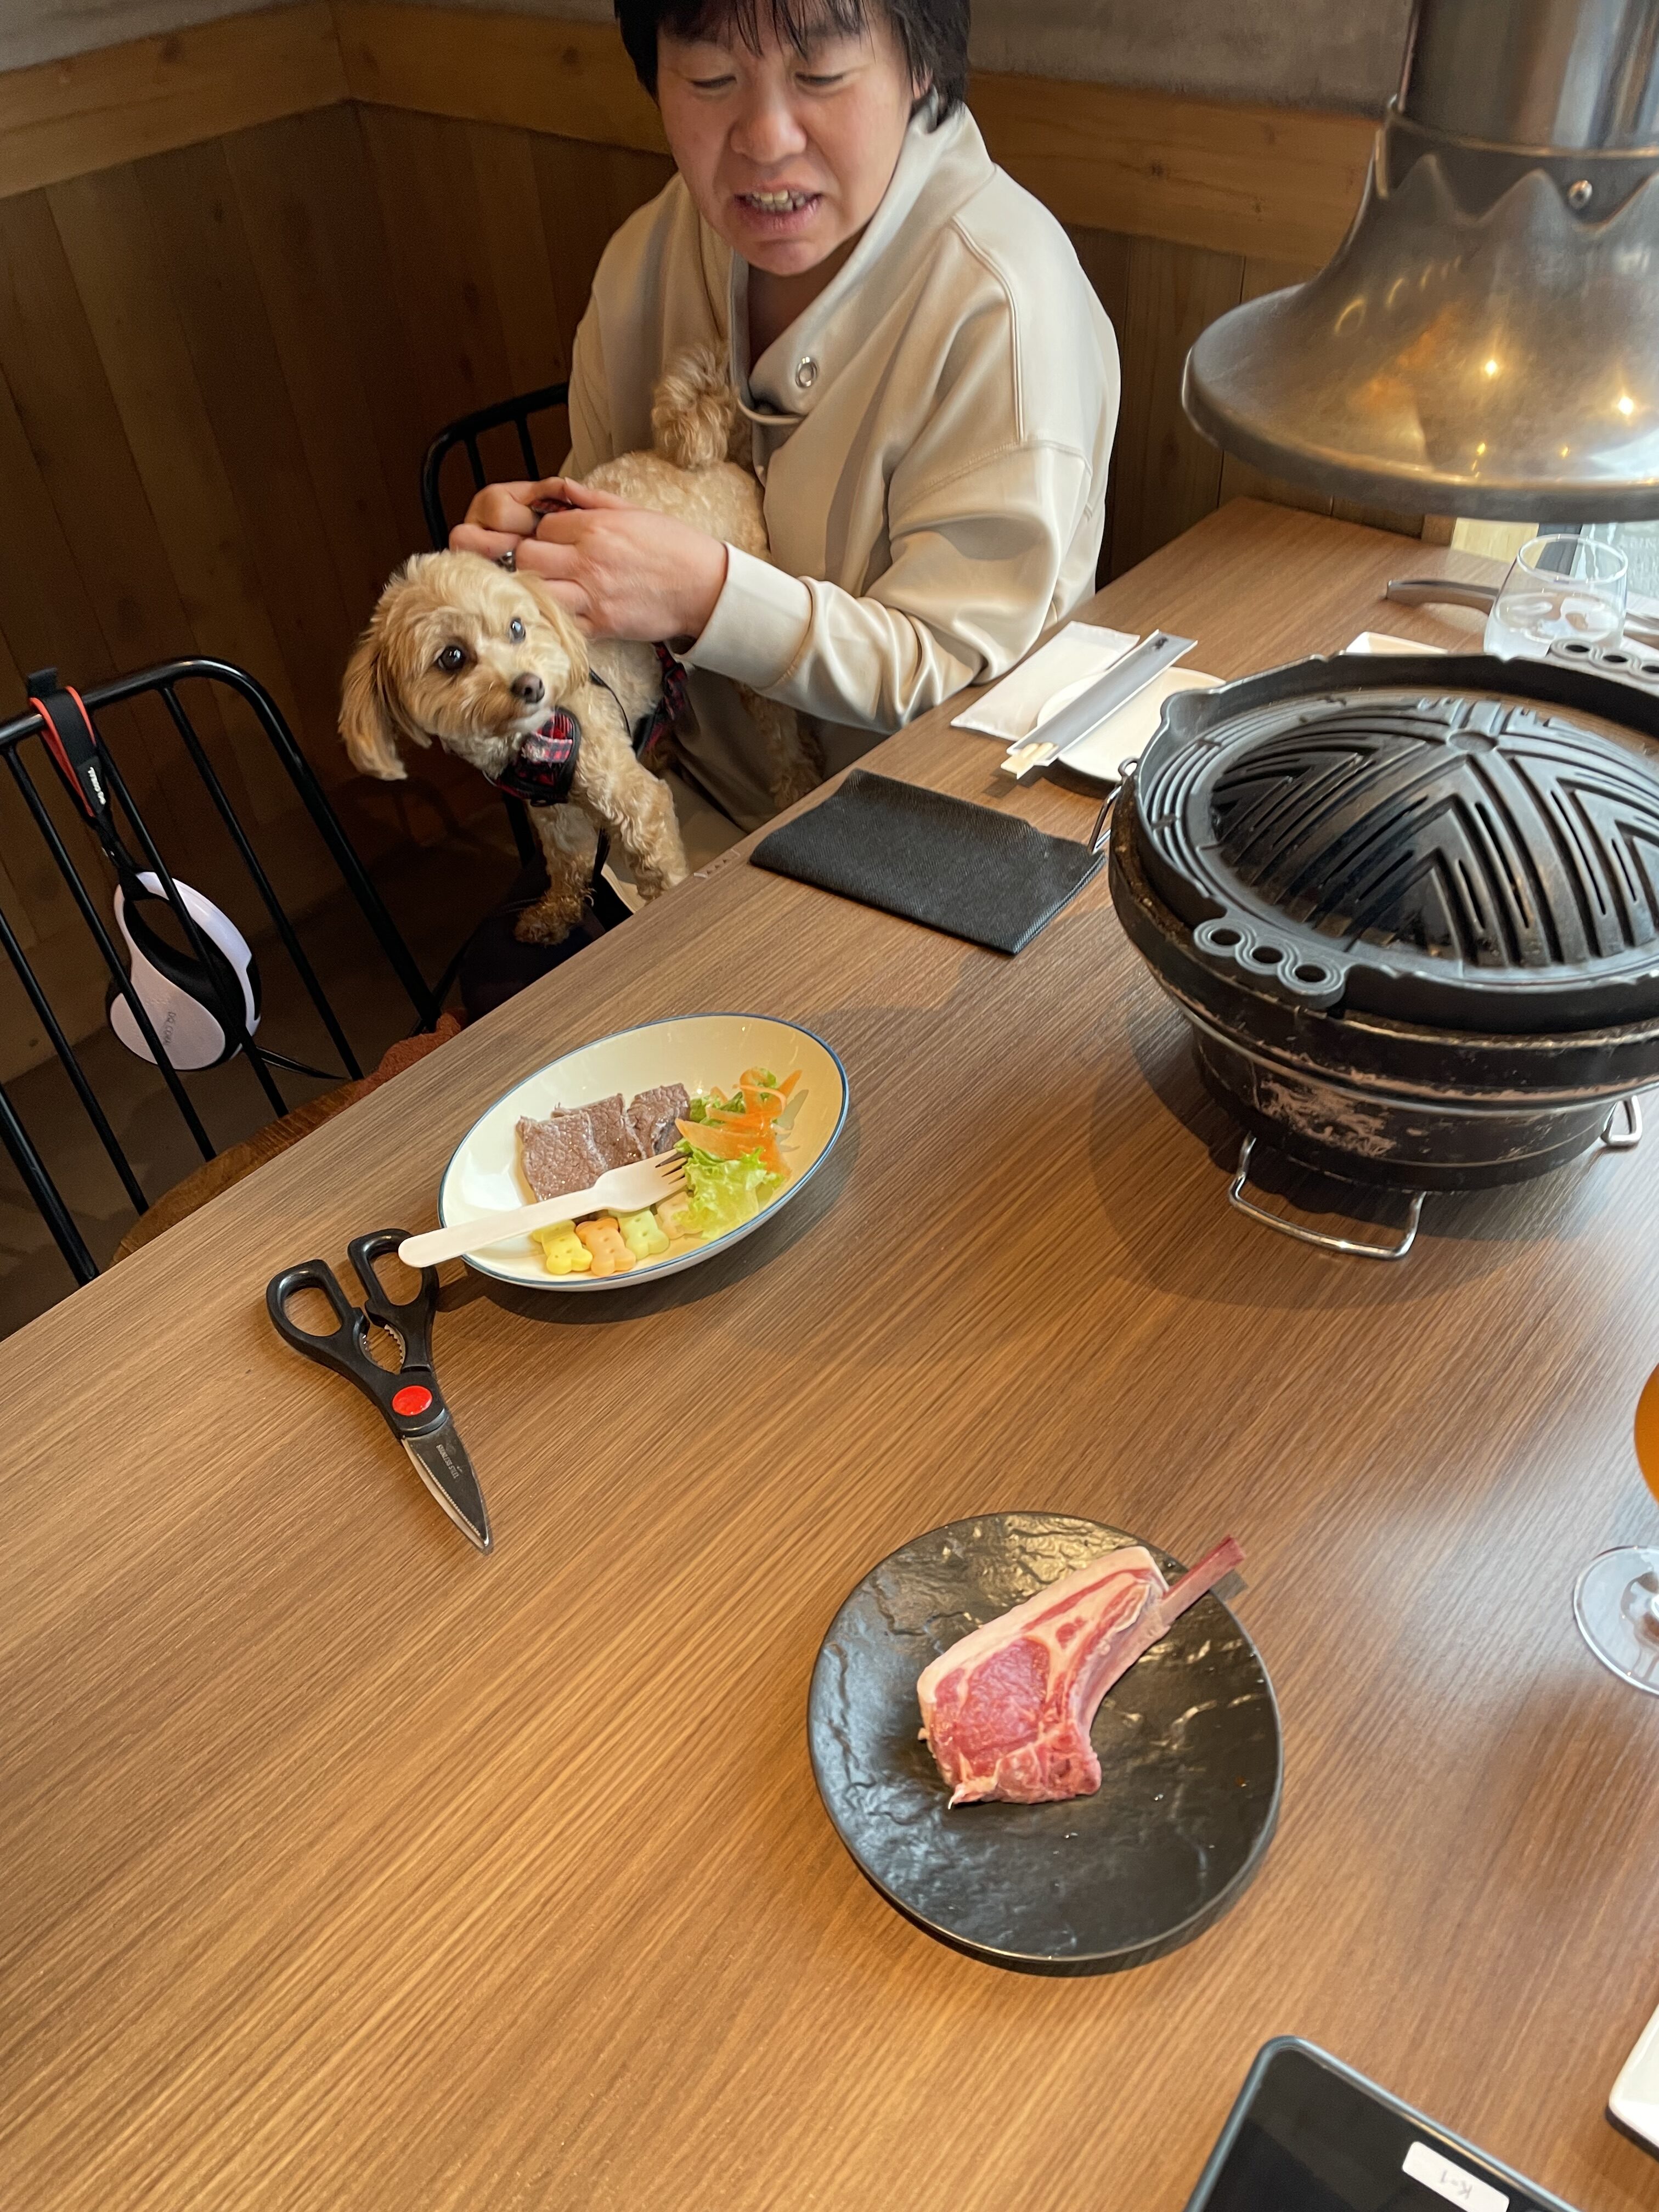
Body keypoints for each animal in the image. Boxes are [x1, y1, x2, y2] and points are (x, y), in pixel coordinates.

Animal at [339, 348, 819, 946]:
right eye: (451, 657)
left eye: (517, 628)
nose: (531, 686)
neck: (526, 747)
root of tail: (712, 462)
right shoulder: (551, 810)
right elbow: (567, 861)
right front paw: (555, 912)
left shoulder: (635, 801)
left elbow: (659, 867)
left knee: (780, 732)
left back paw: (795, 783)